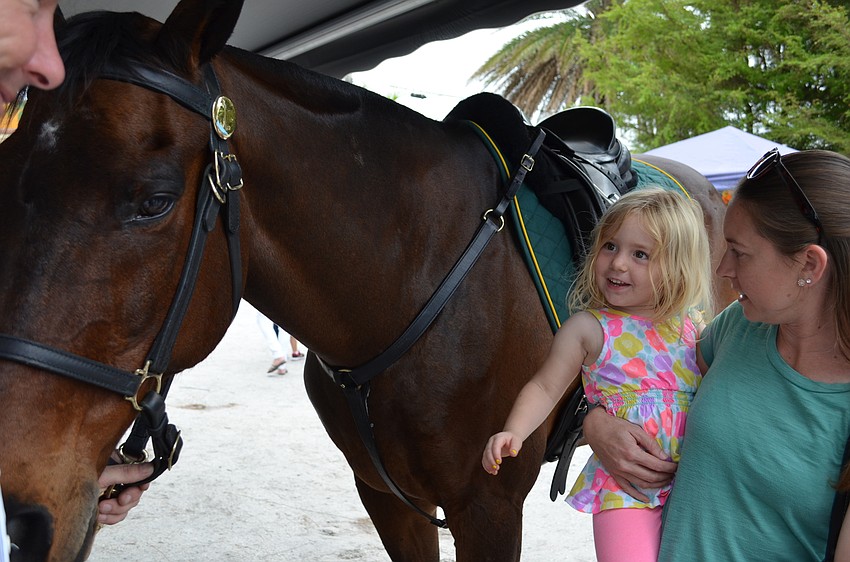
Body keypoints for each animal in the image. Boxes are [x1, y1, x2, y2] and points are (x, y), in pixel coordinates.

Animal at [0, 1, 737, 560]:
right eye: (8, 177)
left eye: (153, 200)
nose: (17, 516)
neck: (416, 275)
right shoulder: (387, 499)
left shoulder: (489, 508)